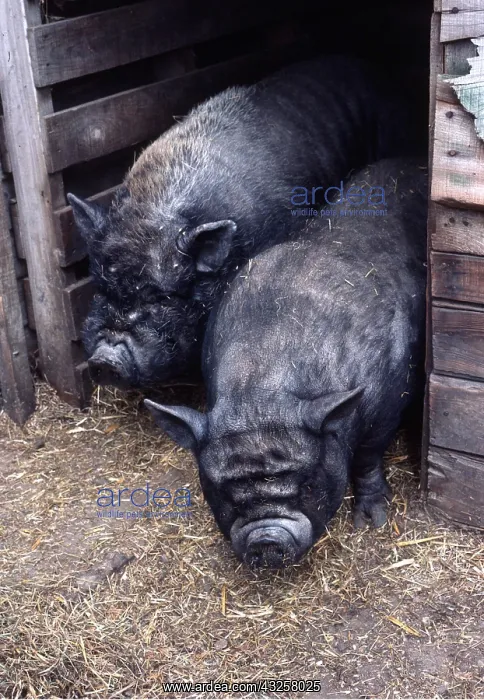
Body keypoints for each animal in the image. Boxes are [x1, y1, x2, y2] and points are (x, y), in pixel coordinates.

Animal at [145, 158, 428, 569]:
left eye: (307, 484)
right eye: (223, 492)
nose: (266, 539)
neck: (260, 385)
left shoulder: (389, 398)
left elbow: (368, 457)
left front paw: (372, 521)